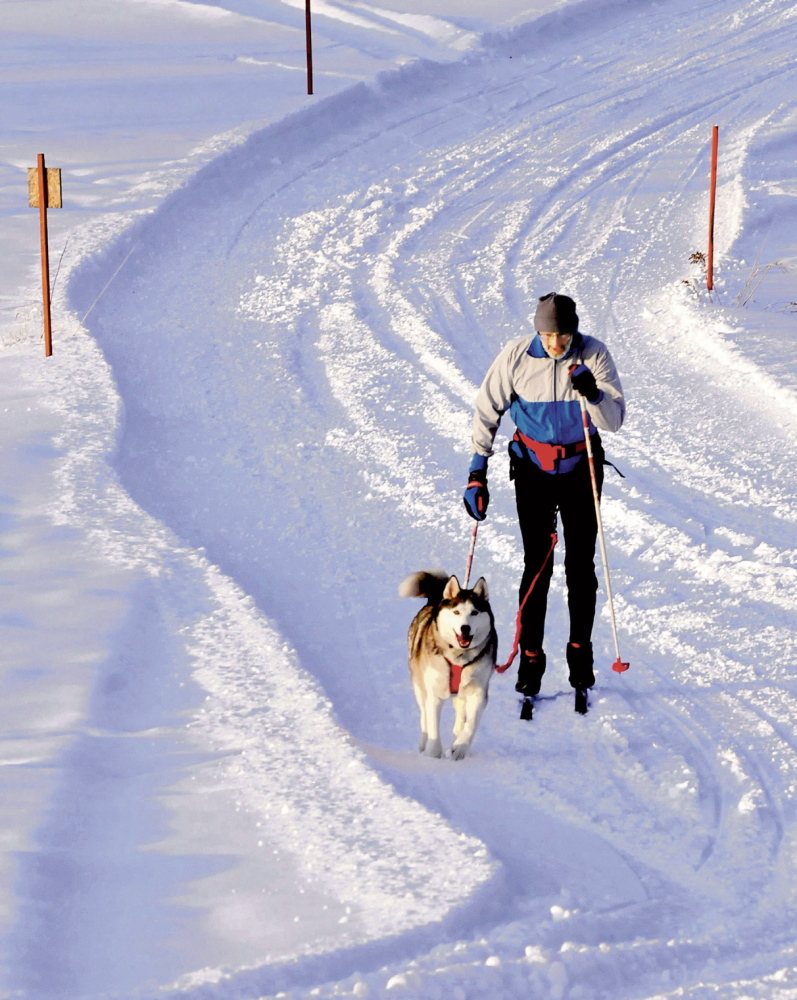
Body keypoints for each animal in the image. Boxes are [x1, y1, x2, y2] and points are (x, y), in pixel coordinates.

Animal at [402, 572, 494, 756]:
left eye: (474, 612)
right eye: (456, 612)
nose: (465, 628)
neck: (459, 655)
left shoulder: (479, 690)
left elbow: (471, 723)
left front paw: (460, 747)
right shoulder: (434, 693)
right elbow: (432, 726)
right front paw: (432, 754)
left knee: (460, 707)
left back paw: (458, 730)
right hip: (419, 685)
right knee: (424, 713)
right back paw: (423, 742)